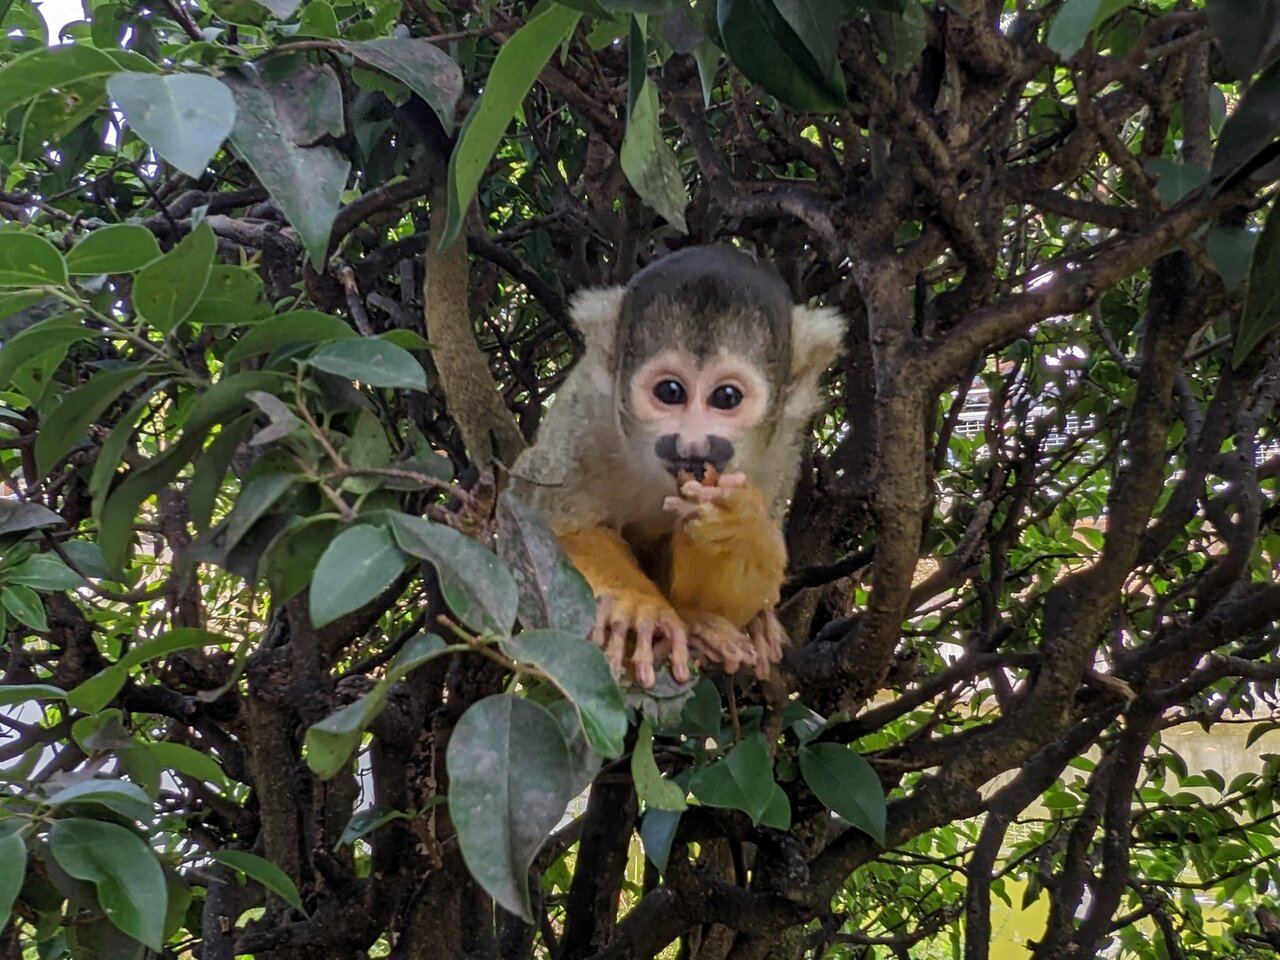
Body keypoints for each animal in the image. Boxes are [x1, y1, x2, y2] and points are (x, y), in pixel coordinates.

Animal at [510, 246, 847, 688]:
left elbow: (730, 599)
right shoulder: (588, 414)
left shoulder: (781, 445)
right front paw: (637, 602)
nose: (691, 444)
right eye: (670, 392)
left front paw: (734, 528)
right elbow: (556, 524)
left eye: (726, 397)